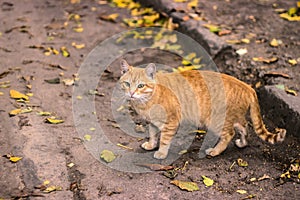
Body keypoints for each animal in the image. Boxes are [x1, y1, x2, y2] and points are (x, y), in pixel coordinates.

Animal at [119, 59, 286, 159]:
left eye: (141, 85)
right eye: (127, 84)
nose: (131, 93)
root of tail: (248, 86)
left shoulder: (171, 122)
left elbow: (165, 140)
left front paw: (161, 152)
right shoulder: (153, 122)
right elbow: (153, 135)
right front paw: (151, 145)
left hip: (216, 121)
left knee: (229, 134)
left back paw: (215, 151)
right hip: (234, 118)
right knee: (244, 127)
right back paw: (242, 143)